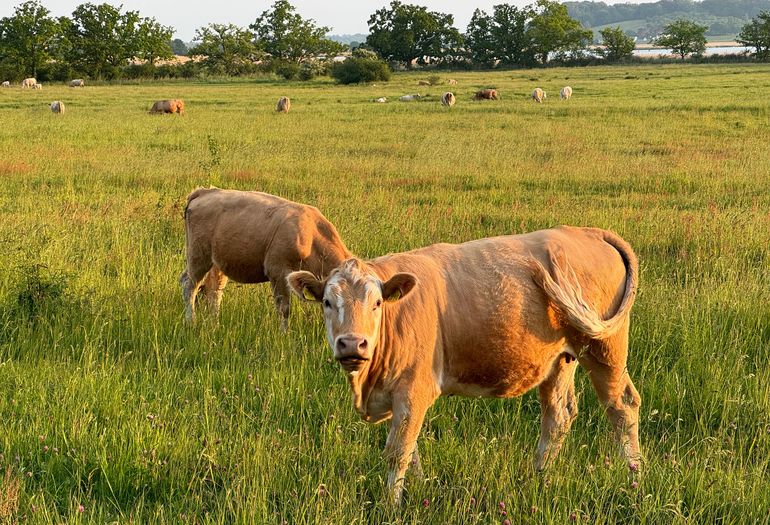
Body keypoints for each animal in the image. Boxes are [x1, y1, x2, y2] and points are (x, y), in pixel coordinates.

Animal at [178, 186, 350, 328]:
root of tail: (205, 191)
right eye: (331, 301)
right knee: (190, 285)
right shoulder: (278, 271)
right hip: (198, 255)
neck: (311, 235)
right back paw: (191, 321)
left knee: (214, 290)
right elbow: (284, 308)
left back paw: (215, 323)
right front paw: (284, 335)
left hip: (217, 262)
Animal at [284, 226, 640, 504]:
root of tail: (589, 232)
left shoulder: (414, 389)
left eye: (377, 303)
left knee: (622, 406)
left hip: (604, 347)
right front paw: (420, 489)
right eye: (327, 302)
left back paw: (633, 475)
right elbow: (411, 448)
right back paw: (537, 477)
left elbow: (398, 450)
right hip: (561, 358)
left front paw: (391, 507)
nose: (352, 343)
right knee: (558, 415)